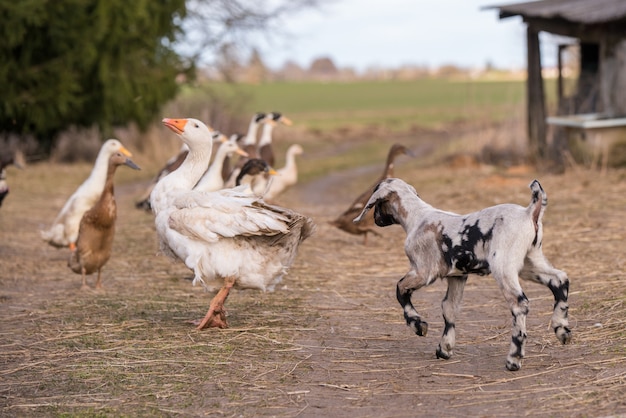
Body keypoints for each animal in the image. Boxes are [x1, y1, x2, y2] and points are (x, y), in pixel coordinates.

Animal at [354, 178, 568, 370]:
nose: (376, 220)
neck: (417, 216)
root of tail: (528, 212)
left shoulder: (424, 271)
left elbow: (400, 289)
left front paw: (418, 324)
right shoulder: (457, 276)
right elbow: (449, 307)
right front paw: (445, 348)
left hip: (504, 265)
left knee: (520, 303)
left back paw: (514, 359)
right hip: (530, 262)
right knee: (559, 279)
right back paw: (562, 330)